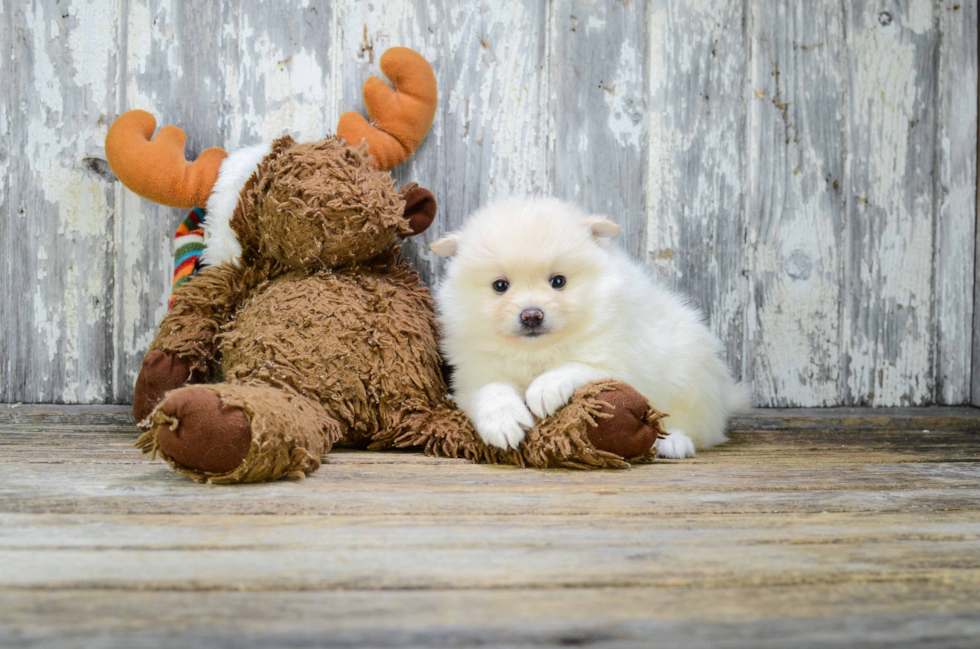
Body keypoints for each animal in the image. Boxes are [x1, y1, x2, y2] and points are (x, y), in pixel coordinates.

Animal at [430, 197, 752, 456]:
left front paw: (544, 389)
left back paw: (672, 442)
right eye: (500, 286)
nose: (531, 315)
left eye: (558, 281)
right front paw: (504, 422)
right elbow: (491, 389)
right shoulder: (473, 374)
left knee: (698, 426)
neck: (536, 351)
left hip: (690, 374)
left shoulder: (618, 361)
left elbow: (575, 366)